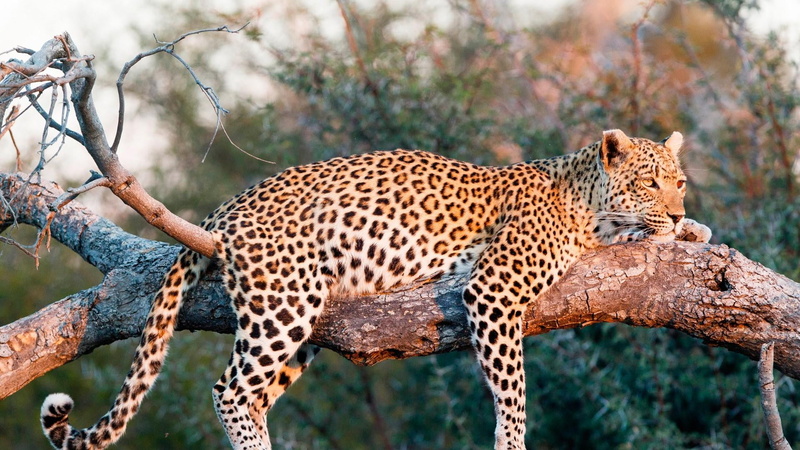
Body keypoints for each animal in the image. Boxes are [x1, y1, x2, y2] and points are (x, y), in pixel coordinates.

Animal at [40, 128, 711, 449]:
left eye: (679, 182)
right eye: (649, 182)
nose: (679, 209)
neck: (587, 203)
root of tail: (224, 211)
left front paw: (692, 231)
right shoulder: (492, 290)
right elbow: (513, 391)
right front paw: (513, 441)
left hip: (303, 324)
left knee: (252, 394)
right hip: (283, 303)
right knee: (228, 391)